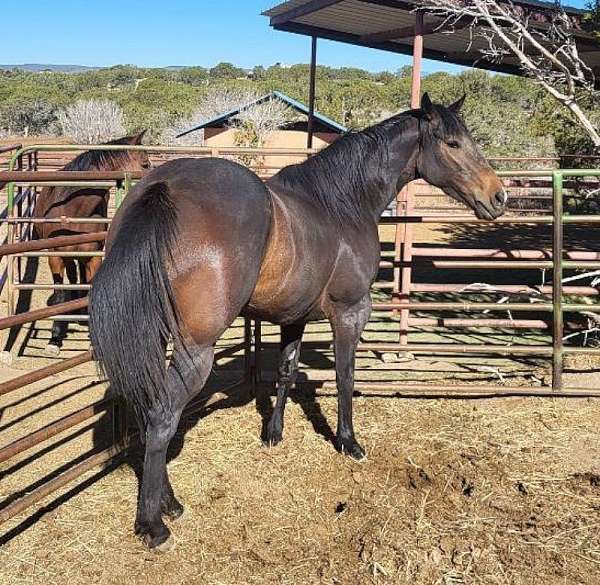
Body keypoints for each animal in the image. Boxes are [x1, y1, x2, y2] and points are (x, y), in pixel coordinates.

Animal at [33, 131, 150, 354]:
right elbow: (59, 294)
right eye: (146, 164)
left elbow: (88, 286)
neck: (74, 211)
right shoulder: (56, 257)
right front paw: (55, 338)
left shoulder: (93, 258)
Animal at [86, 94, 504, 548]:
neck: (342, 205)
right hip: (196, 349)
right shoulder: (350, 312)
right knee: (163, 417)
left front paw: (273, 434)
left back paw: (169, 502)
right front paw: (348, 442)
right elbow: (344, 377)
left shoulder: (294, 317)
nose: (498, 196)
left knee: (147, 410)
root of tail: (164, 187)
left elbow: (285, 373)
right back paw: (154, 523)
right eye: (452, 143)